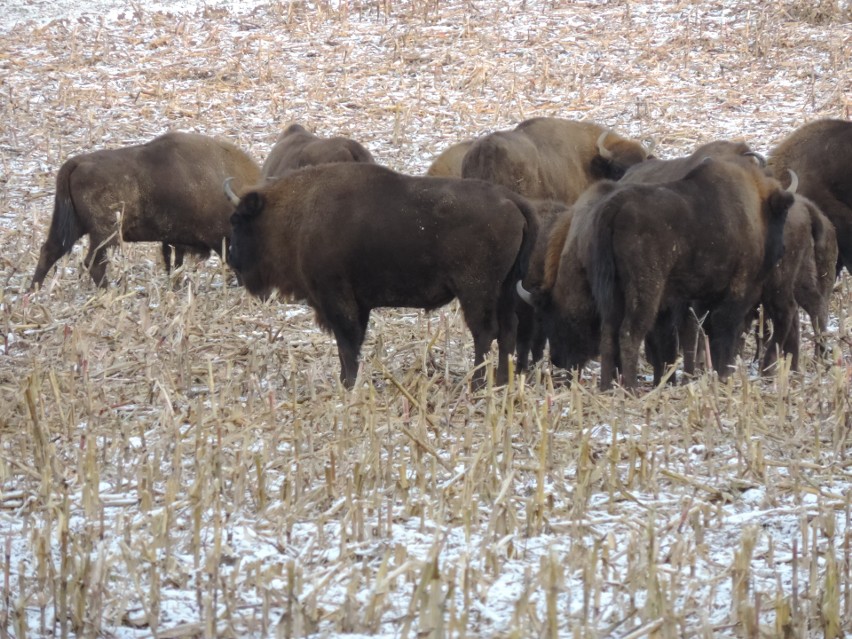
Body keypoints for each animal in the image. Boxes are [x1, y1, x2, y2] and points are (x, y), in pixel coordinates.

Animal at [30, 131, 260, 290]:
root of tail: (77, 162)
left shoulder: (175, 240)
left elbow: (174, 265)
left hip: (72, 225)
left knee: (50, 251)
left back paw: (33, 293)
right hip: (105, 232)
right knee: (93, 263)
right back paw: (108, 293)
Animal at [225, 162, 540, 388]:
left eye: (238, 220)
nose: (231, 258)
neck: (299, 212)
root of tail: (511, 200)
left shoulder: (336, 298)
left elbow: (347, 341)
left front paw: (348, 384)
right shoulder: (358, 304)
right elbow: (352, 342)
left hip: (476, 290)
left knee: (484, 332)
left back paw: (477, 384)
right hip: (505, 289)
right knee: (507, 330)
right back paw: (501, 382)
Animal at [588, 158, 796, 392]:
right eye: (782, 213)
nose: (783, 250)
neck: (754, 208)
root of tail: (616, 206)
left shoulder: (704, 296)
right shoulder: (737, 290)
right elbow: (726, 327)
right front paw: (723, 374)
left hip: (613, 291)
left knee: (609, 334)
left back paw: (607, 386)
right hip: (645, 291)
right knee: (630, 333)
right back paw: (632, 389)